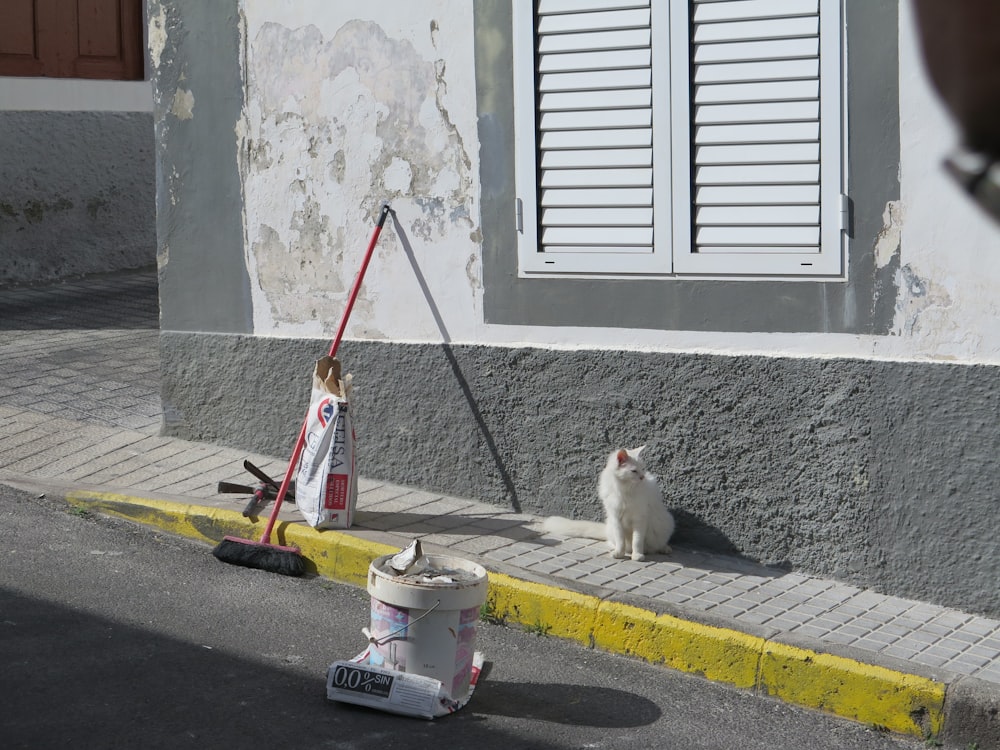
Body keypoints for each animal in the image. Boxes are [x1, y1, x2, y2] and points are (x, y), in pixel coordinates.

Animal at [544, 446, 676, 564]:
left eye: (643, 469)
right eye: (634, 471)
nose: (642, 477)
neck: (625, 490)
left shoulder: (640, 518)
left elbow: (637, 540)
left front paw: (637, 555)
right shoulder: (616, 518)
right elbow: (620, 540)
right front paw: (619, 553)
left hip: (666, 522)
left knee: (656, 544)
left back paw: (664, 548)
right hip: (611, 524)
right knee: (613, 542)